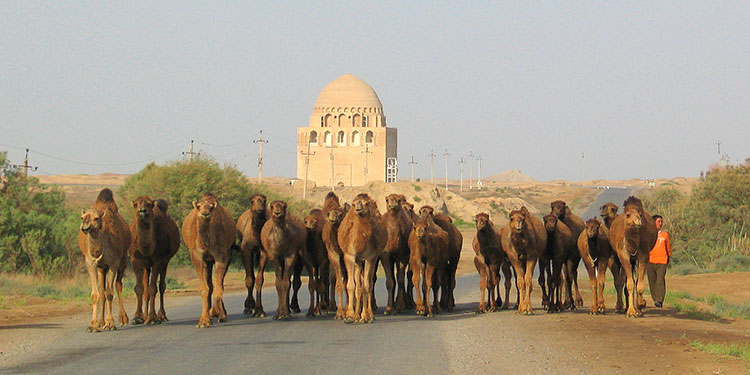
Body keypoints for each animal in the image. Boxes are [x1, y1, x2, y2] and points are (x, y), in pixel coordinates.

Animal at [78, 188, 131, 332]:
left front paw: (110, 323)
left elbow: (110, 293)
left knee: (118, 285)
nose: (84, 226)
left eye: (96, 218)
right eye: (82, 217)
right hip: (102, 268)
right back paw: (101, 322)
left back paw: (123, 319)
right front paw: (93, 325)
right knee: (102, 291)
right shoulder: (91, 264)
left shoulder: (113, 263)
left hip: (122, 261)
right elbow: (95, 294)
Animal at [129, 197, 181, 326]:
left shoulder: (158, 260)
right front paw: (137, 317)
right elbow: (139, 288)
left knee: (161, 286)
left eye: (149, 204)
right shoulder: (135, 260)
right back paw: (145, 316)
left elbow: (153, 288)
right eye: (135, 204)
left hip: (165, 261)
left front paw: (153, 318)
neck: (147, 249)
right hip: (146, 266)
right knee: (146, 288)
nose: (142, 211)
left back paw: (161, 316)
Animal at [181, 192, 235, 328]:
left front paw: (219, 314)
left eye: (211, 207)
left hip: (226, 255)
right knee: (210, 284)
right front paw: (204, 321)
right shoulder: (197, 256)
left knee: (218, 284)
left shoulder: (221, 256)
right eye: (198, 206)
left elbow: (218, 288)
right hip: (207, 261)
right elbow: (204, 288)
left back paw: (219, 313)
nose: (205, 213)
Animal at [340, 194, 388, 324]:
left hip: (373, 259)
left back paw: (369, 315)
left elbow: (366, 286)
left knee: (369, 283)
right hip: (357, 262)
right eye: (353, 203)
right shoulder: (349, 256)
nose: (357, 206)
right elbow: (351, 285)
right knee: (358, 286)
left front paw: (365, 316)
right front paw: (350, 315)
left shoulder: (370, 258)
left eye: (366, 203)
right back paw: (357, 316)